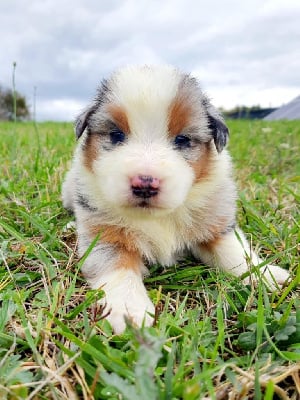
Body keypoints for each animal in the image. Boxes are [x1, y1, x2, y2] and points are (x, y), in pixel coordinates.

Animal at [62, 65, 290, 334]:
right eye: (116, 135)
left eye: (182, 140)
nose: (145, 184)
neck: (157, 217)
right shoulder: (105, 236)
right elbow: (118, 269)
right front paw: (130, 311)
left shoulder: (216, 221)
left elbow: (235, 252)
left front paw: (266, 275)